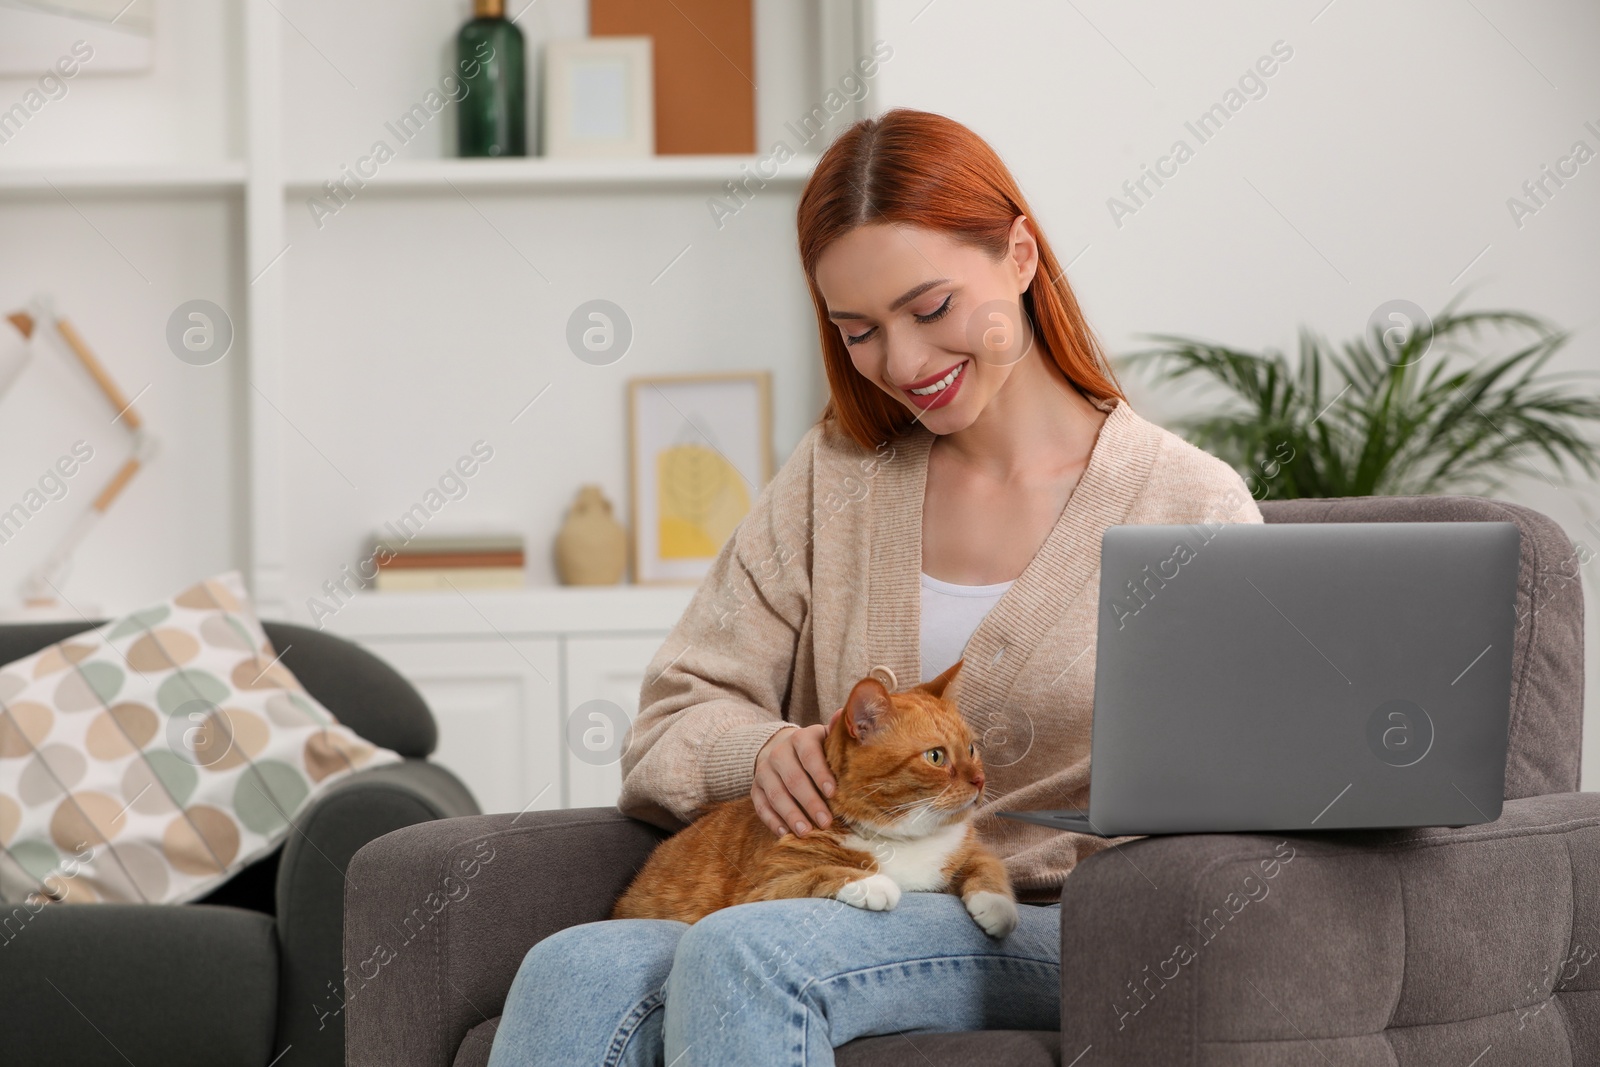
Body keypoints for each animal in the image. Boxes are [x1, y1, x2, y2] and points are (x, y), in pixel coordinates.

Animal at [604, 659, 1017, 940]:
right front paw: (874, 883)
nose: (980, 781)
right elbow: (819, 873)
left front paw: (998, 906)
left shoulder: (969, 851)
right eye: (935, 757)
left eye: (971, 749)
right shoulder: (760, 890)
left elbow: (988, 864)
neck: (904, 838)